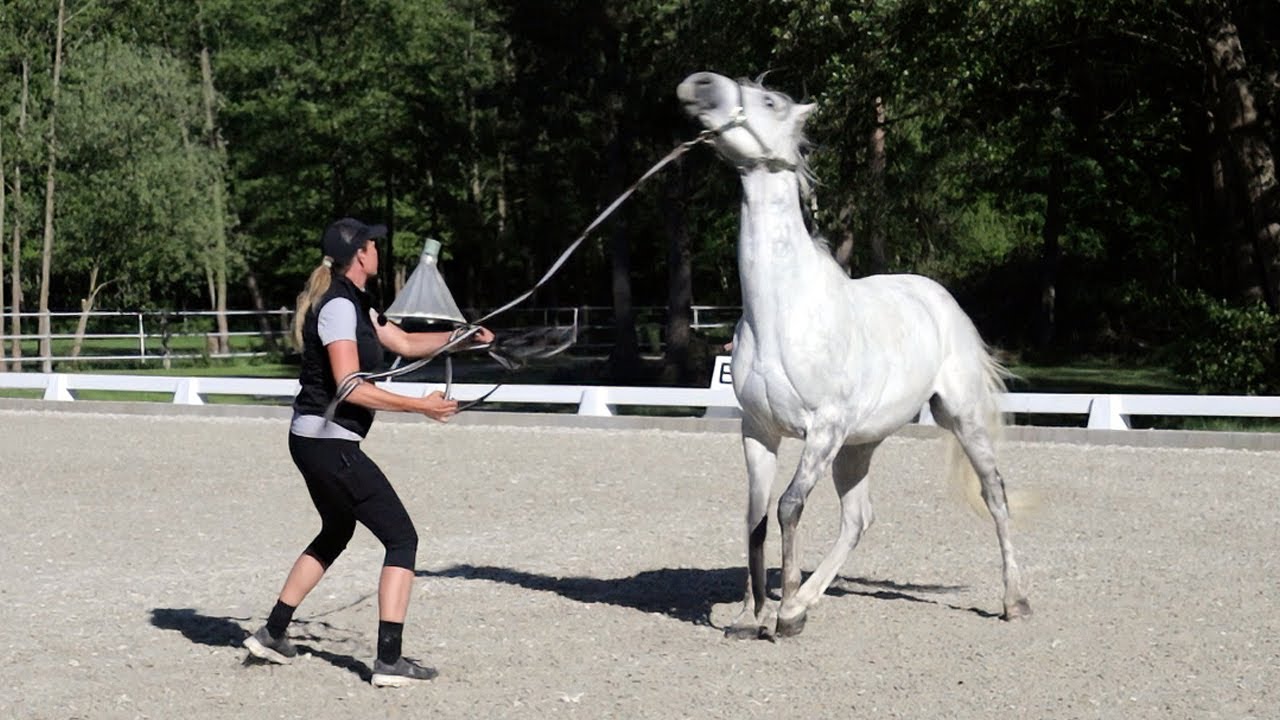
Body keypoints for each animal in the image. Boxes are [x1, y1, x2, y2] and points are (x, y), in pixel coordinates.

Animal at [676, 71, 1031, 639]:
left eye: (769, 100)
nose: (698, 85)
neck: (783, 311)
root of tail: (939, 297)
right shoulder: (758, 430)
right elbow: (755, 518)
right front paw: (751, 616)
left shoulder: (823, 429)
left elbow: (788, 506)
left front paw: (781, 615)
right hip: (858, 446)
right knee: (858, 518)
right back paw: (807, 598)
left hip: (959, 418)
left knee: (994, 494)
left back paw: (1014, 601)